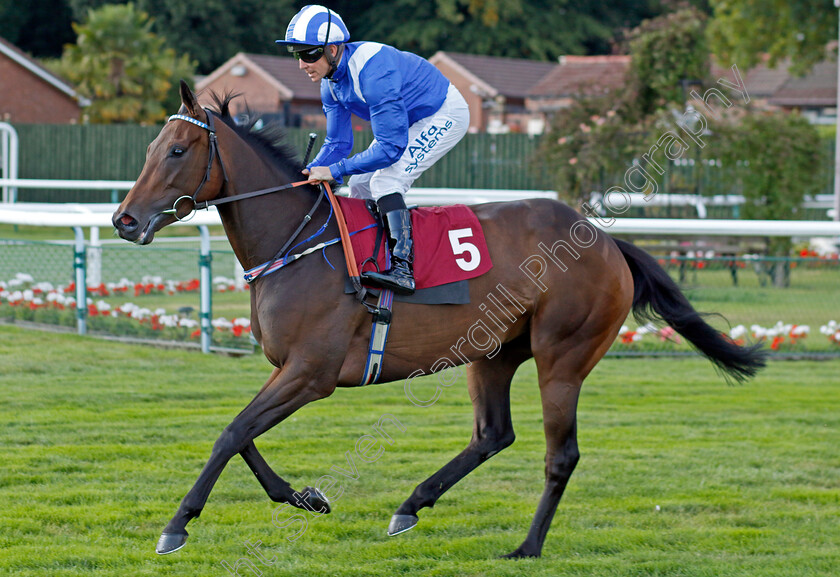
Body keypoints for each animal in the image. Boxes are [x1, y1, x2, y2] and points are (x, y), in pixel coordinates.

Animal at [111, 82, 768, 560]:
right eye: (147, 150)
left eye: (176, 151)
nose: (123, 220)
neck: (299, 241)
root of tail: (606, 242)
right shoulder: (289, 369)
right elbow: (242, 433)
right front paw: (305, 497)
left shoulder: (312, 373)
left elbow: (231, 433)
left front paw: (177, 526)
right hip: (494, 353)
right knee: (493, 434)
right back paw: (411, 504)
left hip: (563, 356)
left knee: (561, 454)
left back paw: (526, 547)